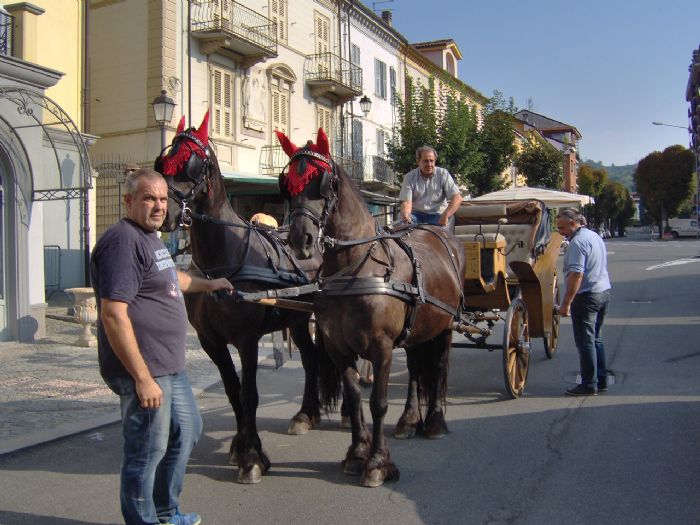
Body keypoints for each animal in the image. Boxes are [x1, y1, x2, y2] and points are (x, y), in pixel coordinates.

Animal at [155, 113, 336, 484]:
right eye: (165, 161)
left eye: (192, 164)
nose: (164, 211)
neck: (224, 260)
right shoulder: (210, 340)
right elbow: (232, 390)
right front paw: (240, 444)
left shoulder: (246, 339)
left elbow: (249, 393)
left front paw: (253, 457)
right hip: (298, 319)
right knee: (310, 358)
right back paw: (306, 414)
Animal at [276, 128, 466, 487]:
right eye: (288, 184)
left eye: (324, 183)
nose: (300, 240)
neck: (354, 268)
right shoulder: (337, 347)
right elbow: (354, 397)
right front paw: (356, 453)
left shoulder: (381, 346)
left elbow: (378, 402)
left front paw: (377, 462)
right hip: (418, 328)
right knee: (416, 368)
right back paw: (409, 419)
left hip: (445, 325)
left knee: (438, 366)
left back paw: (434, 420)